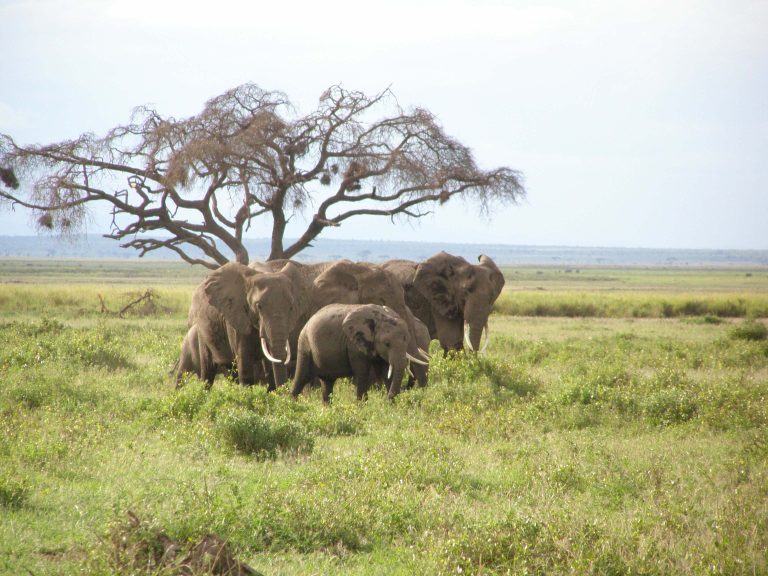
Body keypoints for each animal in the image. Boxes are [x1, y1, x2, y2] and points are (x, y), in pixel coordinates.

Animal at [292, 304, 424, 402]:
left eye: (407, 339)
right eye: (387, 344)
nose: (386, 401)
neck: (380, 317)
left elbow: (386, 371)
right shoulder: (354, 345)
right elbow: (362, 373)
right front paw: (362, 406)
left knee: (327, 384)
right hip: (304, 344)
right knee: (301, 378)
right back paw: (291, 404)